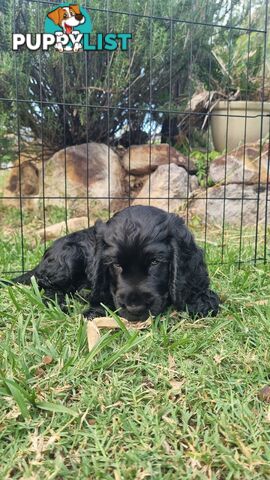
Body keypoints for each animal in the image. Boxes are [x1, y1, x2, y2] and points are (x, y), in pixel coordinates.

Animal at [12, 205, 219, 320]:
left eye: (155, 262)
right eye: (116, 265)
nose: (135, 308)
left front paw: (202, 301)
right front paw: (96, 311)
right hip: (68, 257)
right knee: (46, 288)